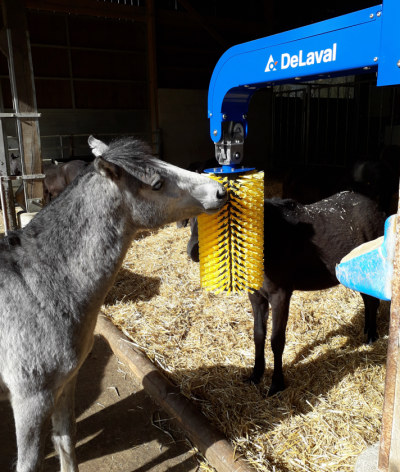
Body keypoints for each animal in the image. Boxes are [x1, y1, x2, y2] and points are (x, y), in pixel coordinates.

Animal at [0, 135, 227, 470]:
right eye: (157, 183)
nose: (220, 191)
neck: (39, 286)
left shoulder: (65, 383)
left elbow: (66, 440)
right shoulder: (31, 399)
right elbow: (29, 462)